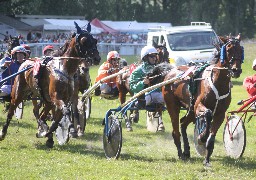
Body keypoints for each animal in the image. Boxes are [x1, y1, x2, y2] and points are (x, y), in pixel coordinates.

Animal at [154, 33, 244, 166]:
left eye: (241, 50)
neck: (218, 83)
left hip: (191, 110)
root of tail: (170, 72)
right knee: (176, 130)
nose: (236, 70)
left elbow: (211, 137)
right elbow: (207, 114)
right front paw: (201, 137)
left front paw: (206, 160)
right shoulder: (199, 105)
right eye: (228, 50)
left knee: (183, 123)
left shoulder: (220, 113)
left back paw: (186, 151)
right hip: (173, 106)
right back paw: (181, 153)